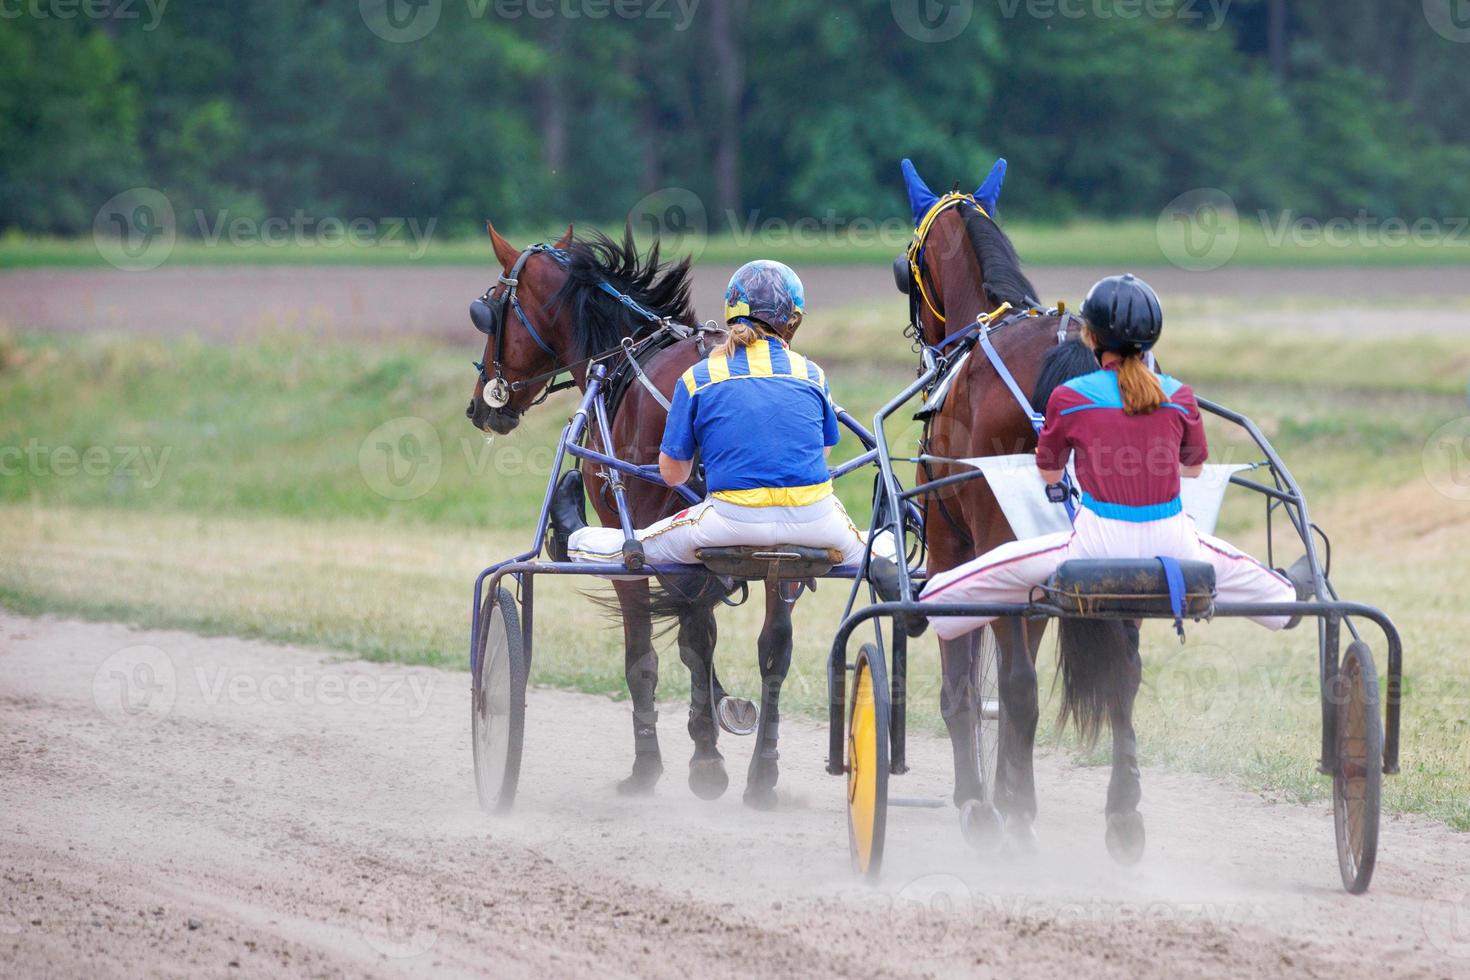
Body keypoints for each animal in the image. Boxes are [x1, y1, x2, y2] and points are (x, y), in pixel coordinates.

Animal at [467, 226, 799, 811]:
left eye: (489, 310)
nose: (481, 406)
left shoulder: (632, 551)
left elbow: (644, 655)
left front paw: (652, 767)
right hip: (786, 552)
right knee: (773, 648)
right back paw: (763, 773)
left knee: (695, 638)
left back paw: (707, 760)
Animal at [893, 159, 1146, 858]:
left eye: (907, 264)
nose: (922, 336)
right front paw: (1005, 788)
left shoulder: (955, 550)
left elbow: (968, 686)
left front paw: (982, 799)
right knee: (1125, 671)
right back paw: (1123, 812)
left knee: (1019, 687)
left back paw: (1017, 815)